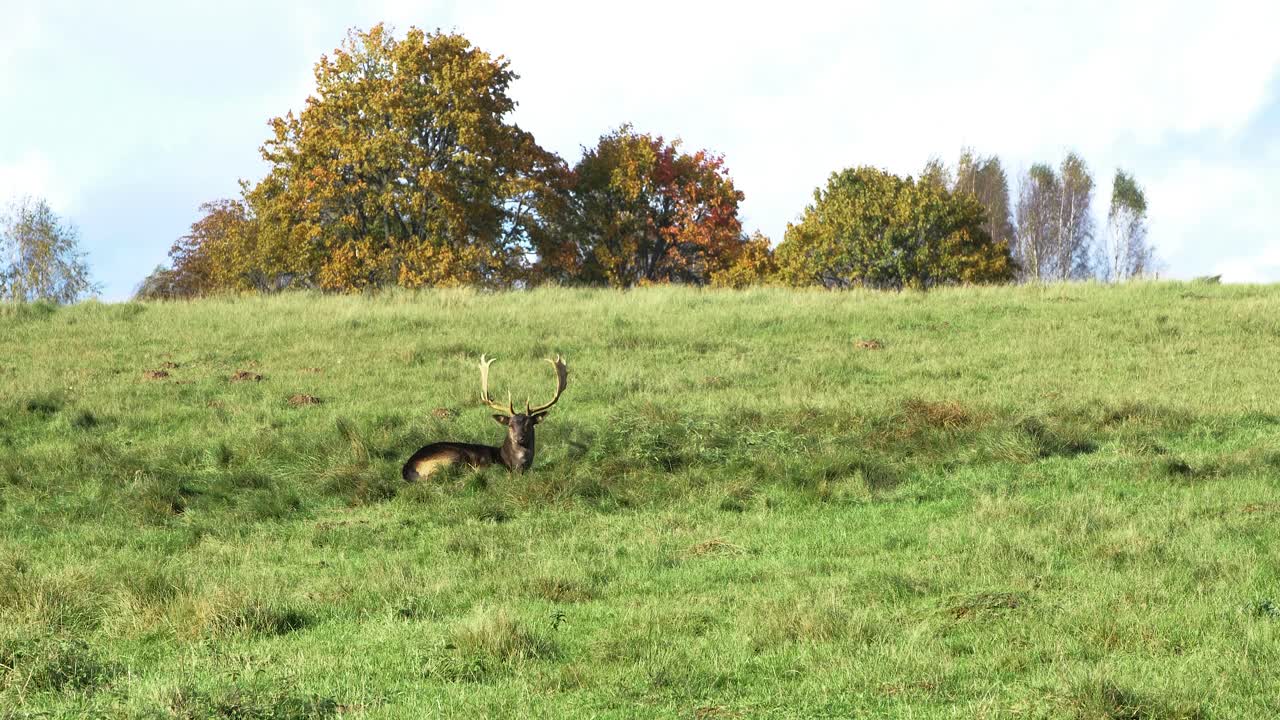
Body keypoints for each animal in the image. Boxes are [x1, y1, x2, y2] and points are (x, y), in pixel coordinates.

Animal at [401, 354, 569, 481]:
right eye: (510, 425)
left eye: (529, 424)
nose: (519, 438)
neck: (509, 463)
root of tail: (408, 468)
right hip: (451, 457)